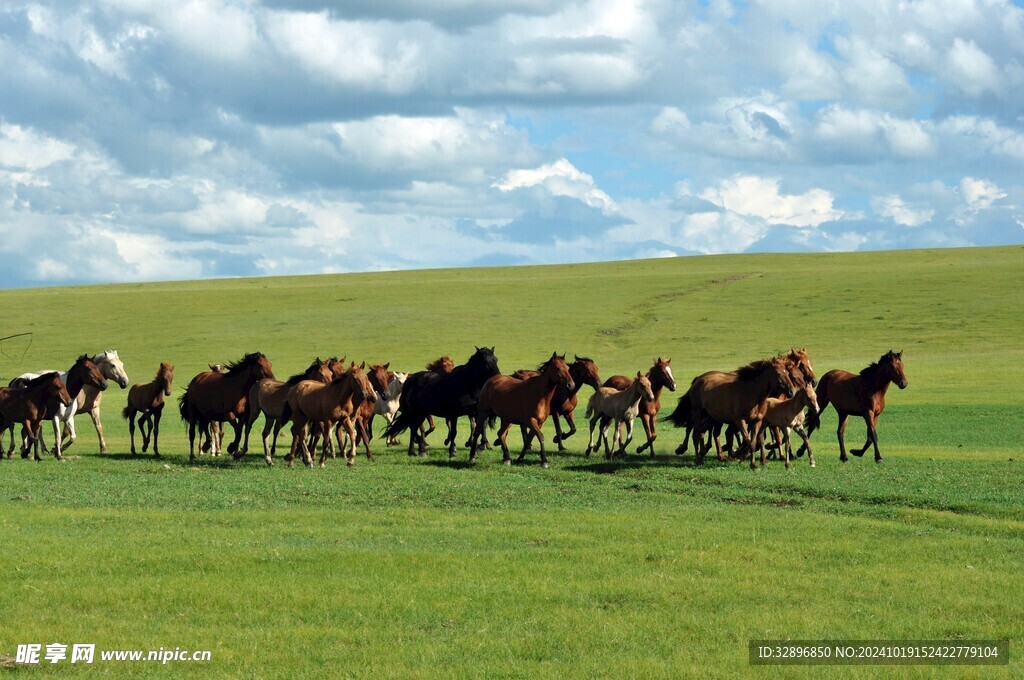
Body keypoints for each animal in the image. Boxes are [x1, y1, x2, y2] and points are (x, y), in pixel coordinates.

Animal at [666, 357, 796, 465]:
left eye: (787, 373)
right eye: (778, 373)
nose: (791, 392)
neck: (752, 393)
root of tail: (698, 380)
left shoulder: (757, 421)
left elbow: (755, 441)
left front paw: (754, 461)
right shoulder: (739, 420)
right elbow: (747, 440)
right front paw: (737, 454)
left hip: (711, 417)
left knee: (705, 433)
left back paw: (705, 455)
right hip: (699, 414)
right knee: (695, 434)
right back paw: (697, 458)